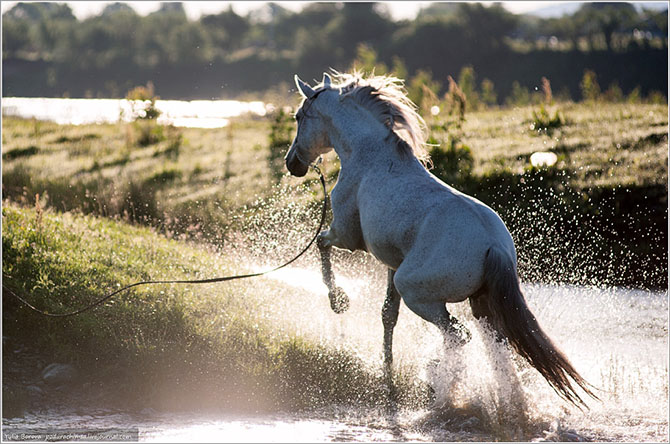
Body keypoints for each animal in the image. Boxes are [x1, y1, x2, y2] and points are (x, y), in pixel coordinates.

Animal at [286, 72, 596, 406]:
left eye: (299, 117)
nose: (293, 164)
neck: (368, 154)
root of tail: (494, 248)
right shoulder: (392, 262)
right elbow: (387, 315)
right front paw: (387, 375)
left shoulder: (346, 236)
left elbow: (321, 244)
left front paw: (339, 301)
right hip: (480, 303)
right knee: (494, 344)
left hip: (419, 294)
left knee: (458, 336)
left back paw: (437, 383)